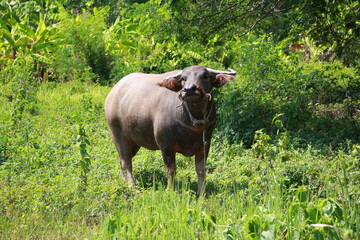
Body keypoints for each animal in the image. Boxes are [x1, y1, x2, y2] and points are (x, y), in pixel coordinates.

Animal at [104, 65, 235, 195]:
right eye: (183, 78)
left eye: (205, 76)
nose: (189, 89)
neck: (193, 125)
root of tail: (112, 93)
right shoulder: (166, 145)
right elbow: (171, 170)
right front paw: (170, 190)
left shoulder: (205, 143)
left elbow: (201, 169)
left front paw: (203, 192)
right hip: (118, 134)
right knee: (125, 161)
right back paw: (133, 187)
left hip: (135, 141)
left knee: (124, 160)